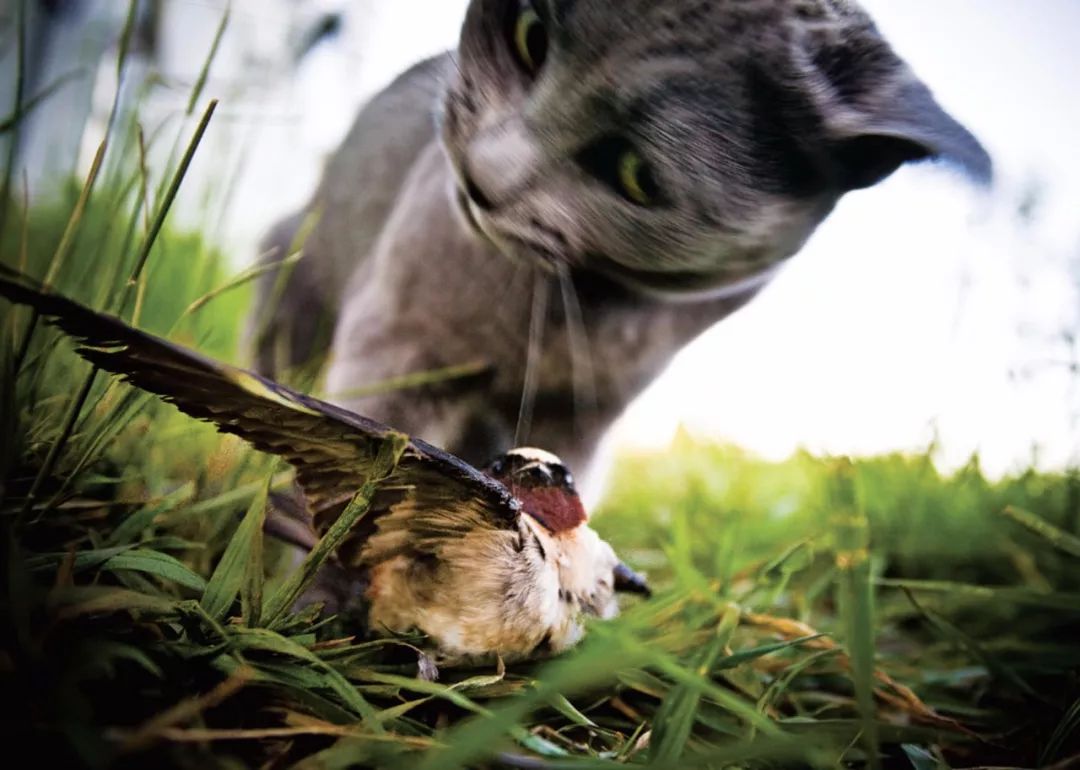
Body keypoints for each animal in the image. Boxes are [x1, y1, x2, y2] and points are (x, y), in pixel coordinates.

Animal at [250, 0, 989, 477]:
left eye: (637, 176)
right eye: (529, 36)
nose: (484, 177)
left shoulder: (582, 418)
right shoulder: (397, 343)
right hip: (292, 280)